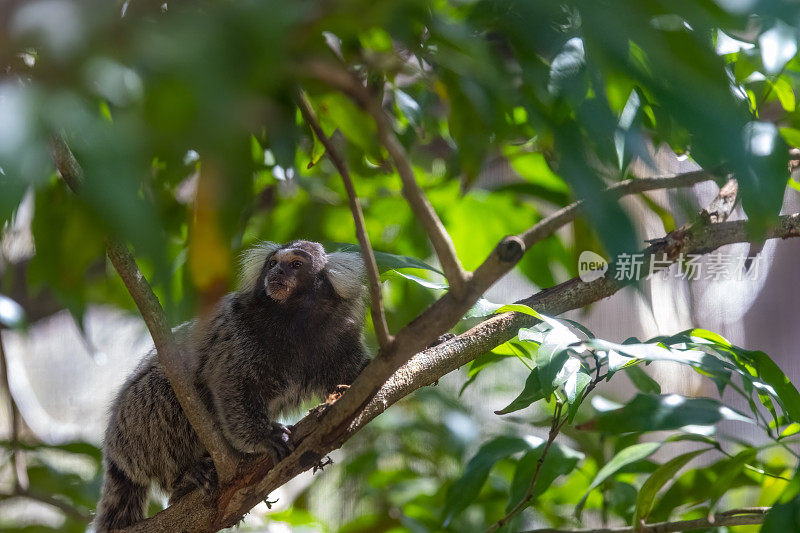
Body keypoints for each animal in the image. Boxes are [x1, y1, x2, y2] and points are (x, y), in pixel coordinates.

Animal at [95, 240, 370, 528]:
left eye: (296, 264)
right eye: (273, 263)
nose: (278, 273)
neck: (293, 319)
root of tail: (113, 449)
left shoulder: (338, 333)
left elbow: (347, 374)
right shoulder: (238, 331)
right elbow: (232, 385)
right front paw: (265, 436)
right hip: (138, 425)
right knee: (170, 393)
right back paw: (185, 475)